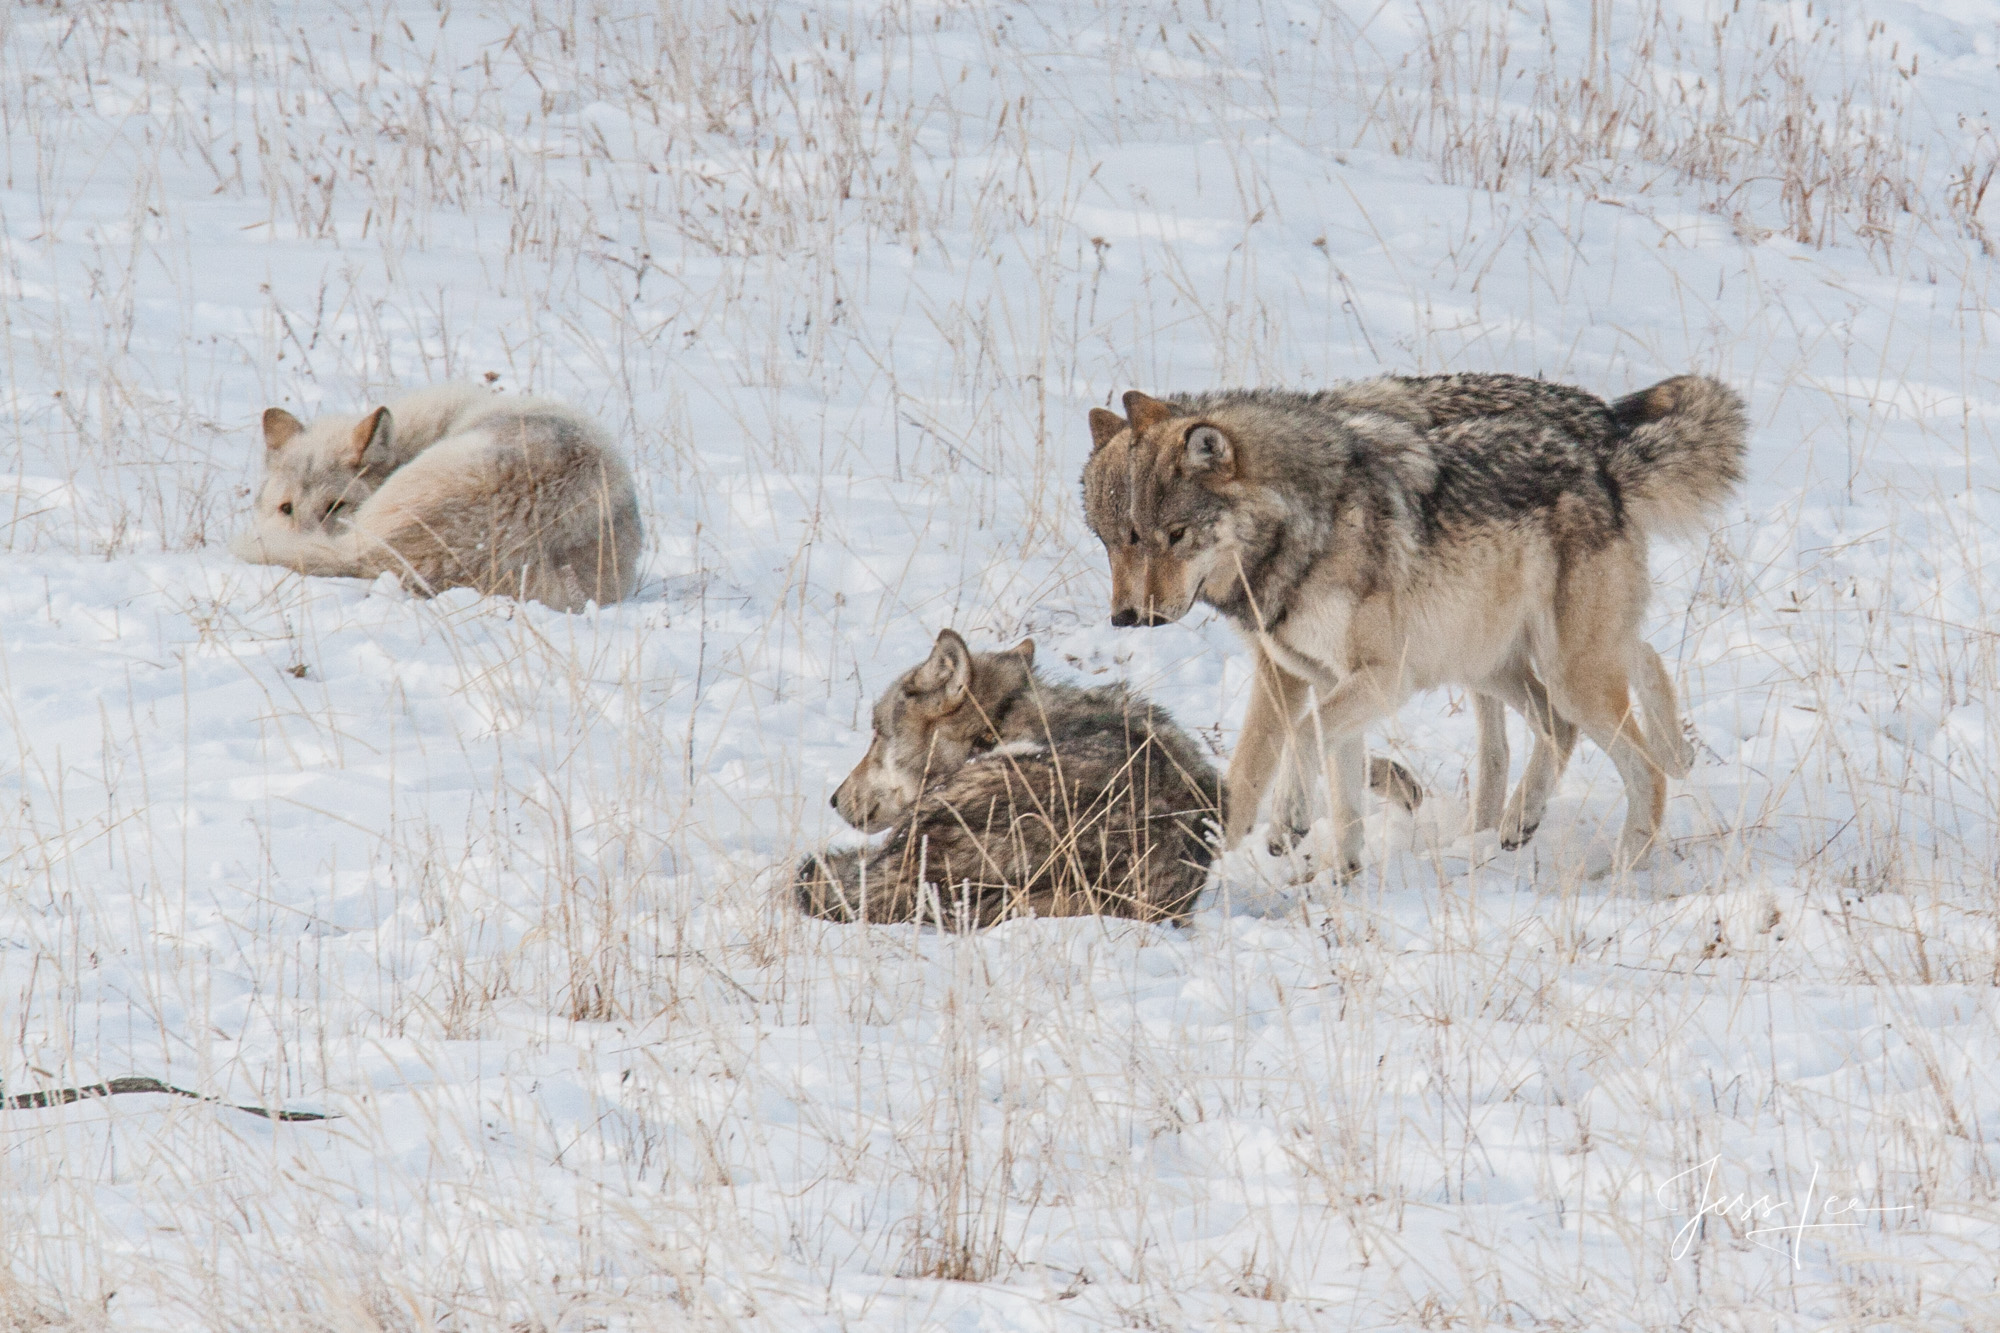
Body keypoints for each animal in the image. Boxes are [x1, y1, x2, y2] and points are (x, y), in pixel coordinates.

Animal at [1080, 374, 1752, 872]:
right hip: (1494, 661)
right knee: (1581, 710)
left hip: (1563, 672)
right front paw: (1337, 873)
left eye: (1173, 535)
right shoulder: (1308, 675)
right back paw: (1524, 821)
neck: (1307, 533)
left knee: (1640, 763)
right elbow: (1316, 778)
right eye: (1113, 541)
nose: (1128, 617)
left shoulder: (1380, 678)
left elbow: (1301, 739)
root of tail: (1604, 461)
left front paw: (1286, 824)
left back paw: (1616, 871)